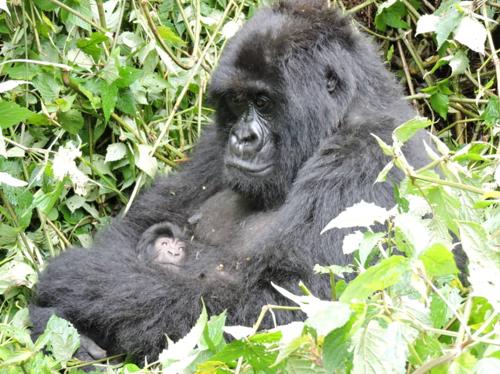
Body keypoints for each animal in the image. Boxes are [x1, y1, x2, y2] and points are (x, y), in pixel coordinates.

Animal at [29, 0, 428, 362]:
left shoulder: (371, 155)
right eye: (237, 100)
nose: (243, 138)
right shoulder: (212, 144)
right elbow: (134, 228)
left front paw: (73, 279)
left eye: (264, 102)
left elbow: (287, 309)